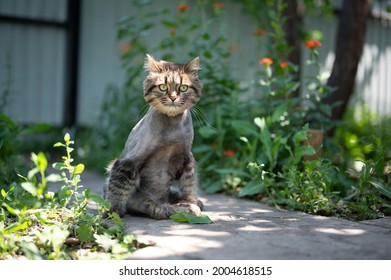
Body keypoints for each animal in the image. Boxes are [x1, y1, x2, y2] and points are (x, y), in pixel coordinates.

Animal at [104, 54, 205, 219]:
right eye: (163, 87)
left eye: (183, 88)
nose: (173, 97)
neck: (172, 128)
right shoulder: (128, 161)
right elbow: (118, 187)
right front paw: (113, 211)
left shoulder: (187, 158)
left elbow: (189, 184)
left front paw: (190, 201)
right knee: (154, 208)